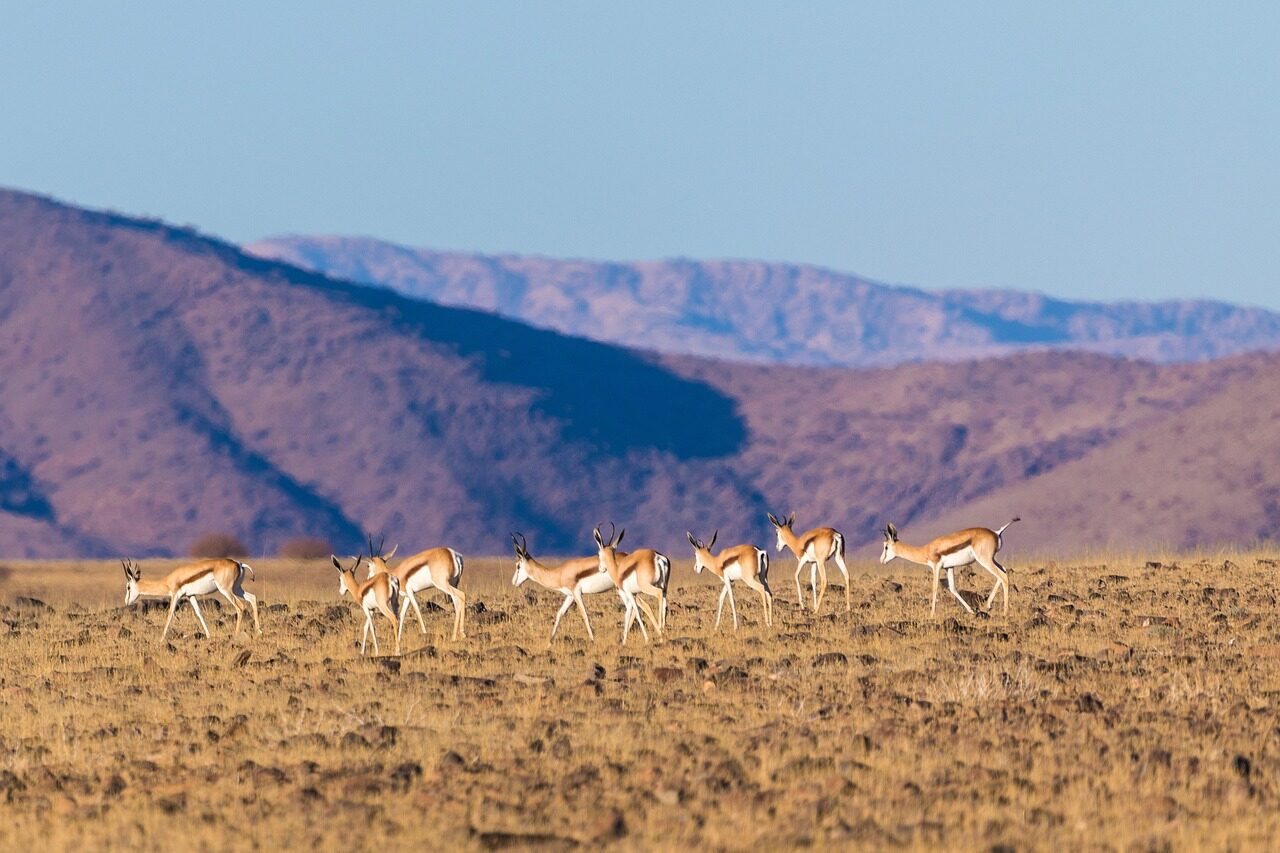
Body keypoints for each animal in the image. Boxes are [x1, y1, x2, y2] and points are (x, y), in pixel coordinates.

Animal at [121, 557, 261, 640]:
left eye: (128, 587)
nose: (126, 602)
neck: (168, 581)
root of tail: (239, 563)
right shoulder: (190, 596)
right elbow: (199, 614)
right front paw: (208, 636)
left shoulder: (175, 595)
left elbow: (170, 614)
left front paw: (161, 639)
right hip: (237, 588)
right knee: (252, 598)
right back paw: (259, 631)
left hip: (226, 590)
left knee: (240, 607)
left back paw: (236, 636)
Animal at [880, 518, 1020, 616]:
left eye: (886, 547)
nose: (881, 561)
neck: (926, 550)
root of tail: (996, 532)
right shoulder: (949, 567)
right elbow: (952, 588)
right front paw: (971, 611)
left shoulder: (936, 567)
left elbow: (935, 588)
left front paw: (931, 614)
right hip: (991, 560)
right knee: (1004, 571)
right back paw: (988, 605)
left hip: (985, 560)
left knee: (1002, 576)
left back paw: (1005, 611)